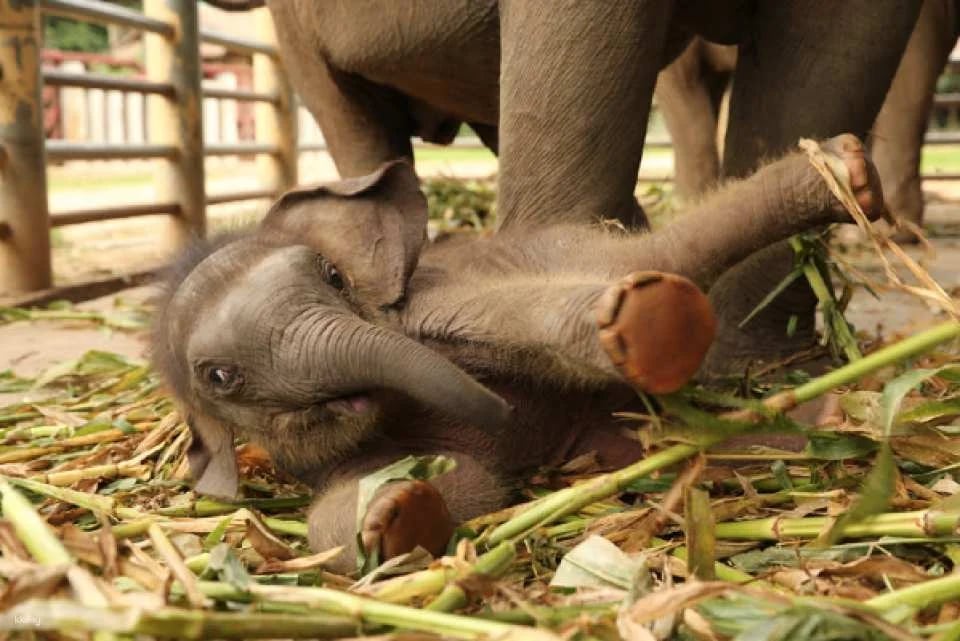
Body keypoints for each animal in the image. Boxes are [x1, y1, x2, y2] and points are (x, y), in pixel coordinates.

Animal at [152, 134, 883, 572]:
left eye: (333, 276)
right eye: (221, 376)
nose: (500, 410)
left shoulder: (434, 295)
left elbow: (502, 318)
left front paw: (638, 328)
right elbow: (470, 480)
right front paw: (395, 514)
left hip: (564, 245)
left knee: (658, 256)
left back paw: (844, 175)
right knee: (653, 440)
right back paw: (828, 422)